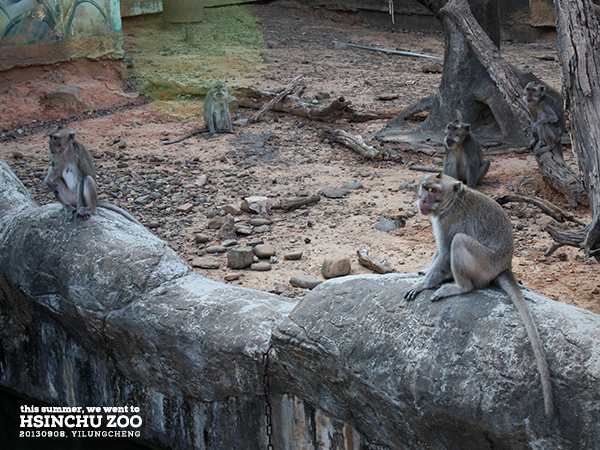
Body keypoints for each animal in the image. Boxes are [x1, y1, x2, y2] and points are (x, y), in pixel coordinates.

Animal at [406, 173, 556, 422]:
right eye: (425, 187)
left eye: (434, 190)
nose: (424, 200)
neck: (451, 203)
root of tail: (505, 266)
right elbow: (439, 253)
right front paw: (424, 271)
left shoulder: (449, 222)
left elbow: (445, 252)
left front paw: (423, 284)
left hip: (484, 263)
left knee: (459, 241)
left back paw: (460, 287)